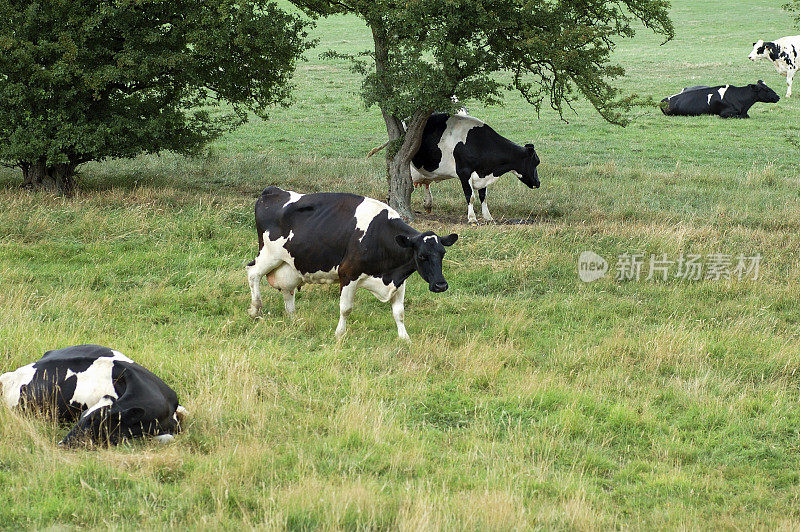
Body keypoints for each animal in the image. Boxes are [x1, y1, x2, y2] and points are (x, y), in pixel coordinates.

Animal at [245, 186, 456, 340]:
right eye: (421, 256)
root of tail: (272, 190)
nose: (441, 285)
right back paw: (255, 309)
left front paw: (405, 339)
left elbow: (399, 312)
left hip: (290, 265)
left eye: (442, 253)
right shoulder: (347, 274)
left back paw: (292, 318)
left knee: (287, 290)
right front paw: (339, 333)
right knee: (252, 272)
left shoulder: (399, 279)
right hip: (269, 255)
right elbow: (346, 308)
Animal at [410, 114, 540, 224]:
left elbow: (483, 196)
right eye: (537, 162)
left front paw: (488, 217)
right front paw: (472, 218)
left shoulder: (483, 173)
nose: (538, 183)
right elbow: (470, 196)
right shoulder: (464, 172)